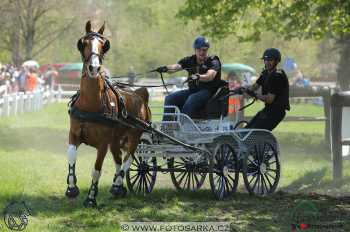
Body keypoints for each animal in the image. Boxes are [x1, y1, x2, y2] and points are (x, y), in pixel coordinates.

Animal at [65, 21, 150, 207]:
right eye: (83, 43)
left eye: (104, 45)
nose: (94, 67)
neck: (91, 104)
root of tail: (140, 94)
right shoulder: (74, 135)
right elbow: (71, 157)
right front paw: (71, 188)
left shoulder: (103, 144)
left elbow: (96, 170)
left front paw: (91, 198)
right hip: (116, 141)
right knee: (119, 160)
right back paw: (118, 187)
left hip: (134, 136)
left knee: (128, 160)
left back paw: (118, 185)